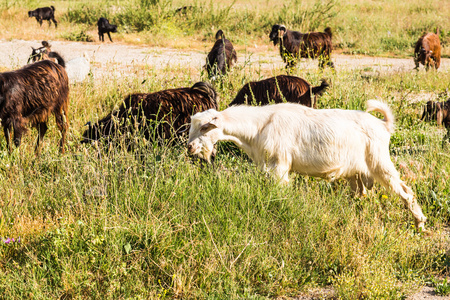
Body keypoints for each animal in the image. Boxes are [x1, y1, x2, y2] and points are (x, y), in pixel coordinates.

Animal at [188, 101, 428, 230]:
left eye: (205, 128)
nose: (189, 147)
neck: (259, 127)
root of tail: (383, 125)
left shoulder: (279, 166)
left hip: (380, 164)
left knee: (406, 192)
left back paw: (420, 224)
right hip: (357, 173)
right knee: (361, 195)